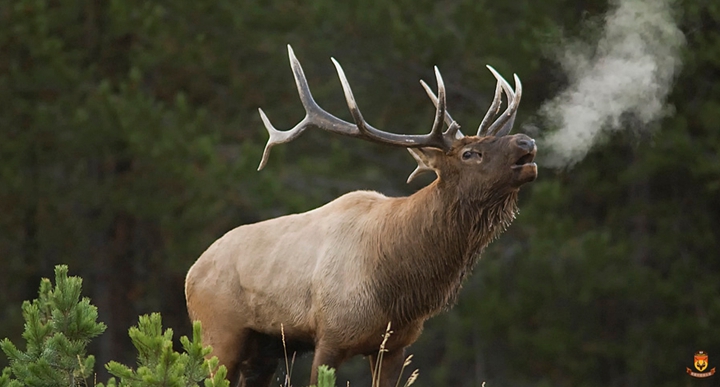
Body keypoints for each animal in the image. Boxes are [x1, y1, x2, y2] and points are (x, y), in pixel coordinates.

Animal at [183, 46, 536, 387]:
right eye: (469, 153)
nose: (526, 140)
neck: (397, 285)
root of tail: (191, 272)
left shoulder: (394, 346)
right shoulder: (330, 335)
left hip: (264, 347)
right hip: (217, 331)